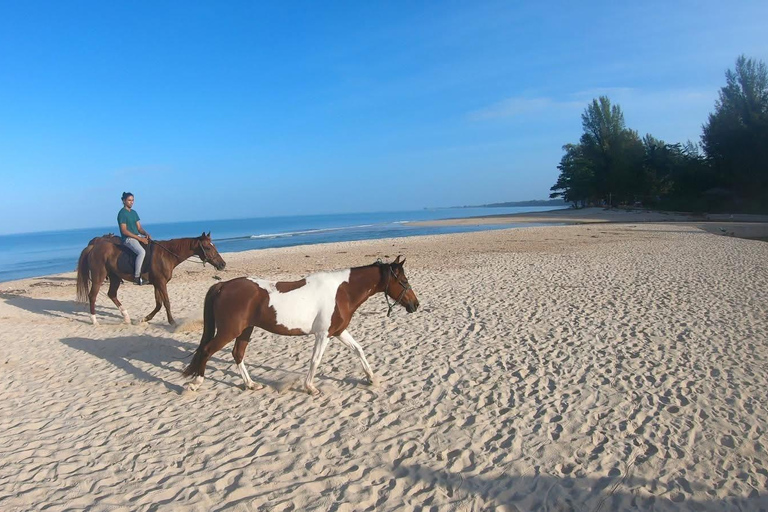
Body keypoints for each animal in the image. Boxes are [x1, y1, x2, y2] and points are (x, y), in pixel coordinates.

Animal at [76, 232, 226, 326]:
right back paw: (94, 320)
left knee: (112, 294)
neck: (166, 255)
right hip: (98, 277)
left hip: (115, 277)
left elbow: (158, 304)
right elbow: (166, 302)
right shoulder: (161, 283)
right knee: (92, 296)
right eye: (207, 247)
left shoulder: (157, 283)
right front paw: (172, 322)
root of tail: (93, 247)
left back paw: (126, 317)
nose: (222, 264)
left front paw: (145, 319)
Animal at [182, 256, 419, 395]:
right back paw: (195, 383)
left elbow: (358, 350)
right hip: (229, 331)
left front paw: (371, 378)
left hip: (244, 330)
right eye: (403, 281)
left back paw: (251, 384)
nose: (415, 305)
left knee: (237, 354)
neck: (342, 291)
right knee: (207, 350)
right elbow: (315, 360)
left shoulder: (338, 332)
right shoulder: (323, 335)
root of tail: (223, 286)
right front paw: (310, 387)